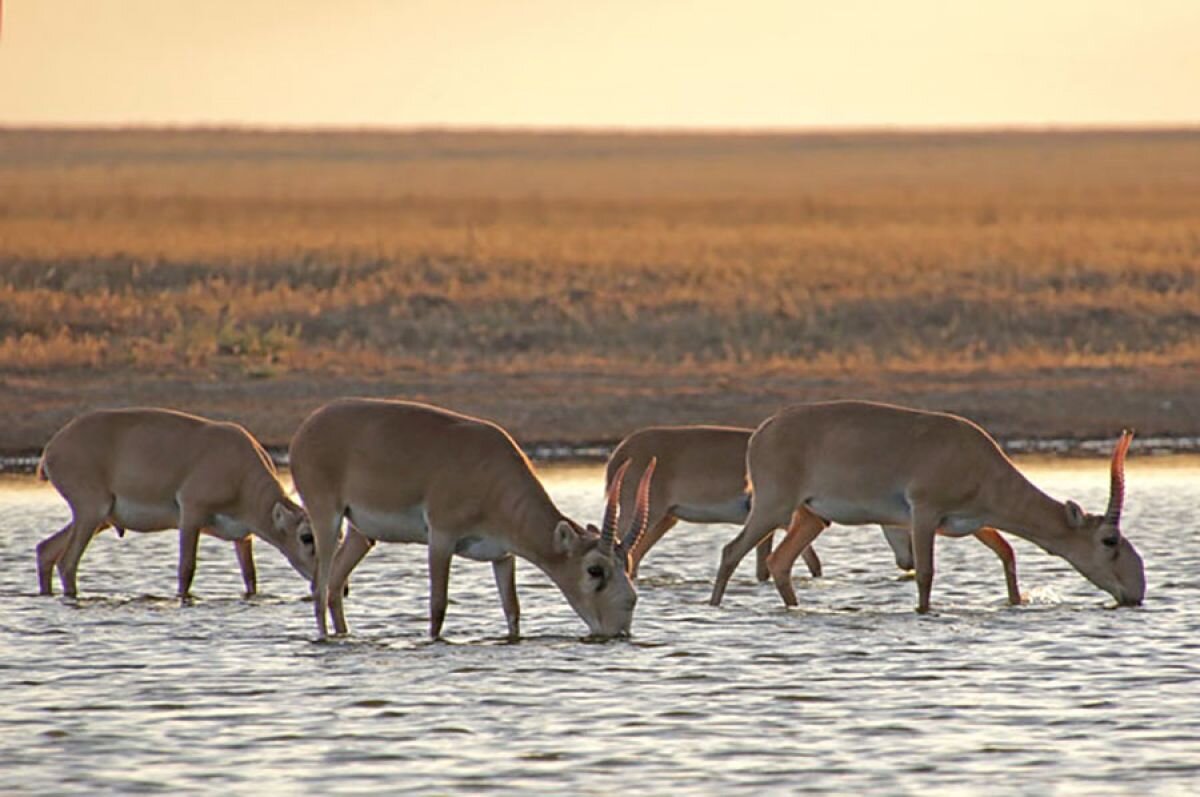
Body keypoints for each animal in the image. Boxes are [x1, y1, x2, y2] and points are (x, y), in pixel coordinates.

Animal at [36, 410, 316, 597]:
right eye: (306, 537)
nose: (323, 581)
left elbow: (250, 577)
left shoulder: (242, 537)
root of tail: (51, 448)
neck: (240, 471)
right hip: (91, 513)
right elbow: (186, 569)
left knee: (46, 549)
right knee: (67, 562)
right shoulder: (191, 516)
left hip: (98, 519)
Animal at [290, 398, 657, 643]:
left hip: (360, 533)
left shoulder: (502, 555)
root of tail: (307, 427)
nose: (621, 626)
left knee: (334, 584)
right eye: (594, 570)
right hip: (326, 518)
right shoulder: (441, 539)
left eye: (626, 565)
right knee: (319, 586)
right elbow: (438, 605)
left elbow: (512, 610)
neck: (489, 472)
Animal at [609, 422, 1022, 604]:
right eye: (897, 523)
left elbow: (801, 564)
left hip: (665, 518)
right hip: (652, 514)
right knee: (630, 553)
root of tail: (619, 452)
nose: (907, 561)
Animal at [710, 400, 1142, 612]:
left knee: (779, 562)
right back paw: (714, 608)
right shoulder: (924, 513)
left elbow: (1007, 552)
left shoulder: (973, 522)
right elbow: (926, 573)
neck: (978, 459)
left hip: (812, 517)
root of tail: (761, 432)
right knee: (732, 550)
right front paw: (923, 613)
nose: (1136, 593)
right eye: (1109, 540)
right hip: (773, 507)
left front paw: (1016, 603)